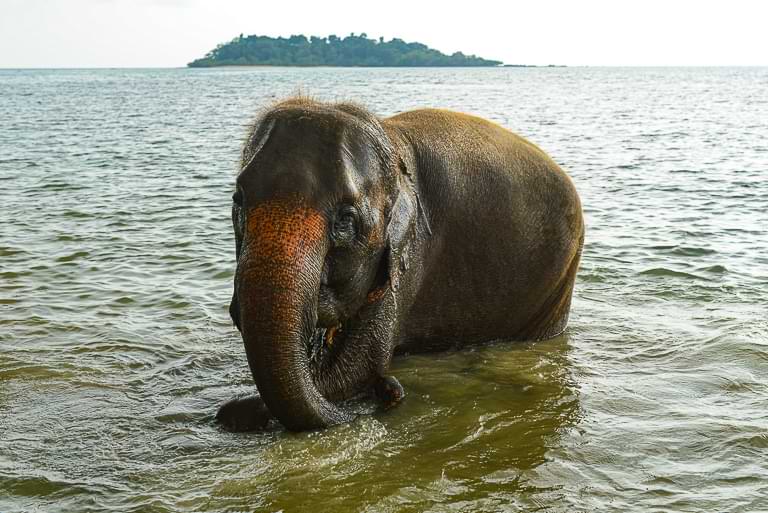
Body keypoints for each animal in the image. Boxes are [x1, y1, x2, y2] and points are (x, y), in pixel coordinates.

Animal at [216, 97, 584, 432]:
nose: (391, 388)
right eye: (238, 201)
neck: (391, 143)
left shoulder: (411, 256)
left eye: (346, 221)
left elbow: (357, 367)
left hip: (558, 279)